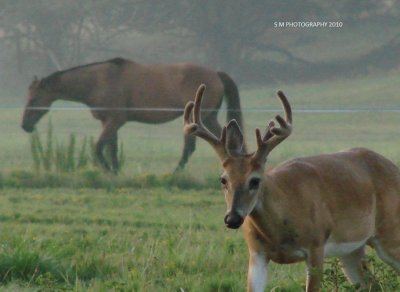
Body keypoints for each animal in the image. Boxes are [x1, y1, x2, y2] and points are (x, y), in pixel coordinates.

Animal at [22, 57, 247, 173]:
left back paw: (174, 173)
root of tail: (216, 74)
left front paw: (108, 170)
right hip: (209, 118)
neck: (99, 81)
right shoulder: (109, 123)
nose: (25, 125)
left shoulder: (114, 121)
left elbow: (98, 147)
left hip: (198, 120)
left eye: (33, 99)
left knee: (189, 148)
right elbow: (111, 149)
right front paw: (115, 172)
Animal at [184, 84, 400, 290]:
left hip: (390, 232)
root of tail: (394, 168)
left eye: (255, 180)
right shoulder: (256, 253)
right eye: (223, 179)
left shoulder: (316, 245)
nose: (232, 218)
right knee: (371, 284)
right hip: (352, 250)